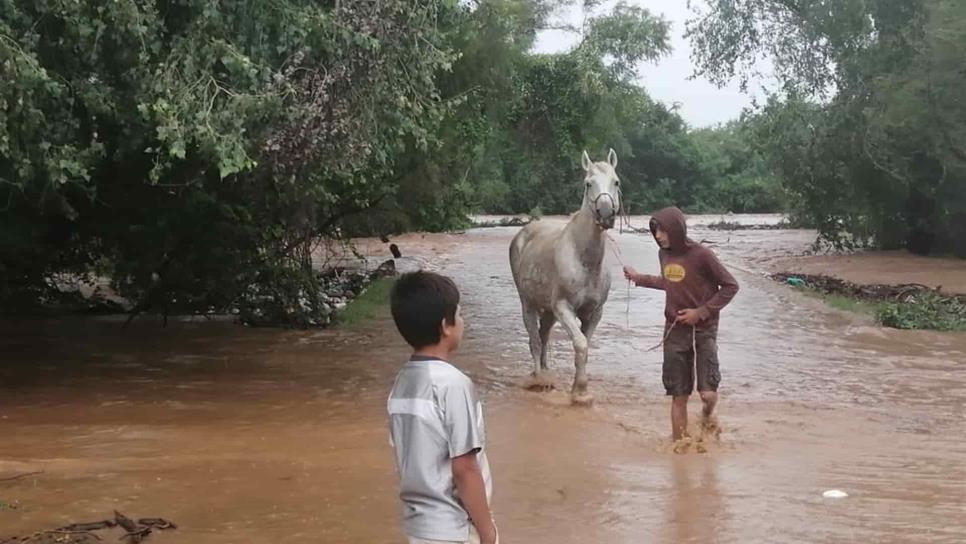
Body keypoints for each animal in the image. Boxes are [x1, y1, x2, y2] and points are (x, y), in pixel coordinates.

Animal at [510, 149, 624, 404]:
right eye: (588, 183)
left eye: (616, 182)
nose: (605, 213)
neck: (585, 262)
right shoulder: (564, 307)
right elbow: (580, 344)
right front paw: (580, 392)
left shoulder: (594, 312)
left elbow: (585, 346)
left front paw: (578, 389)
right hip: (528, 303)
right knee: (534, 339)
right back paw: (538, 378)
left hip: (549, 312)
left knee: (543, 335)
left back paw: (546, 374)